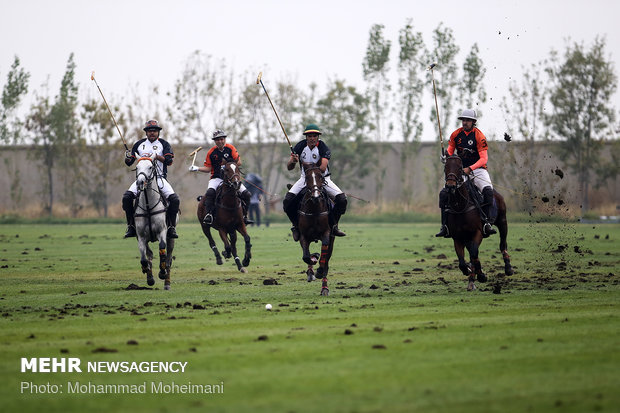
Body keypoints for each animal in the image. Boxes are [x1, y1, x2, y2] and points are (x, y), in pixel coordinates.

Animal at [134, 152, 174, 290]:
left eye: (150, 167)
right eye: (137, 167)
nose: (140, 182)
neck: (148, 205)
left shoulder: (162, 231)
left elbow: (162, 250)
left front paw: (162, 272)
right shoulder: (140, 236)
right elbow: (143, 257)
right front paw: (146, 271)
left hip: (171, 237)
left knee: (169, 258)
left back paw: (167, 282)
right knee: (149, 254)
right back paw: (150, 276)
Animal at [296, 162, 334, 296]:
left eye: (320, 177)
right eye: (307, 178)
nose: (316, 197)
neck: (314, 208)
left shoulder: (327, 234)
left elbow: (324, 260)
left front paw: (319, 271)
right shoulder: (303, 236)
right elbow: (306, 256)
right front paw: (314, 259)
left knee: (327, 260)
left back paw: (324, 288)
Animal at [444, 155, 516, 290]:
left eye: (460, 167)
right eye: (446, 166)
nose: (450, 186)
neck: (461, 206)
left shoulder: (478, 232)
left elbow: (474, 253)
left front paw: (480, 276)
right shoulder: (458, 237)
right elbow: (462, 261)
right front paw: (470, 272)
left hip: (503, 222)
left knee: (502, 244)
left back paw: (508, 268)